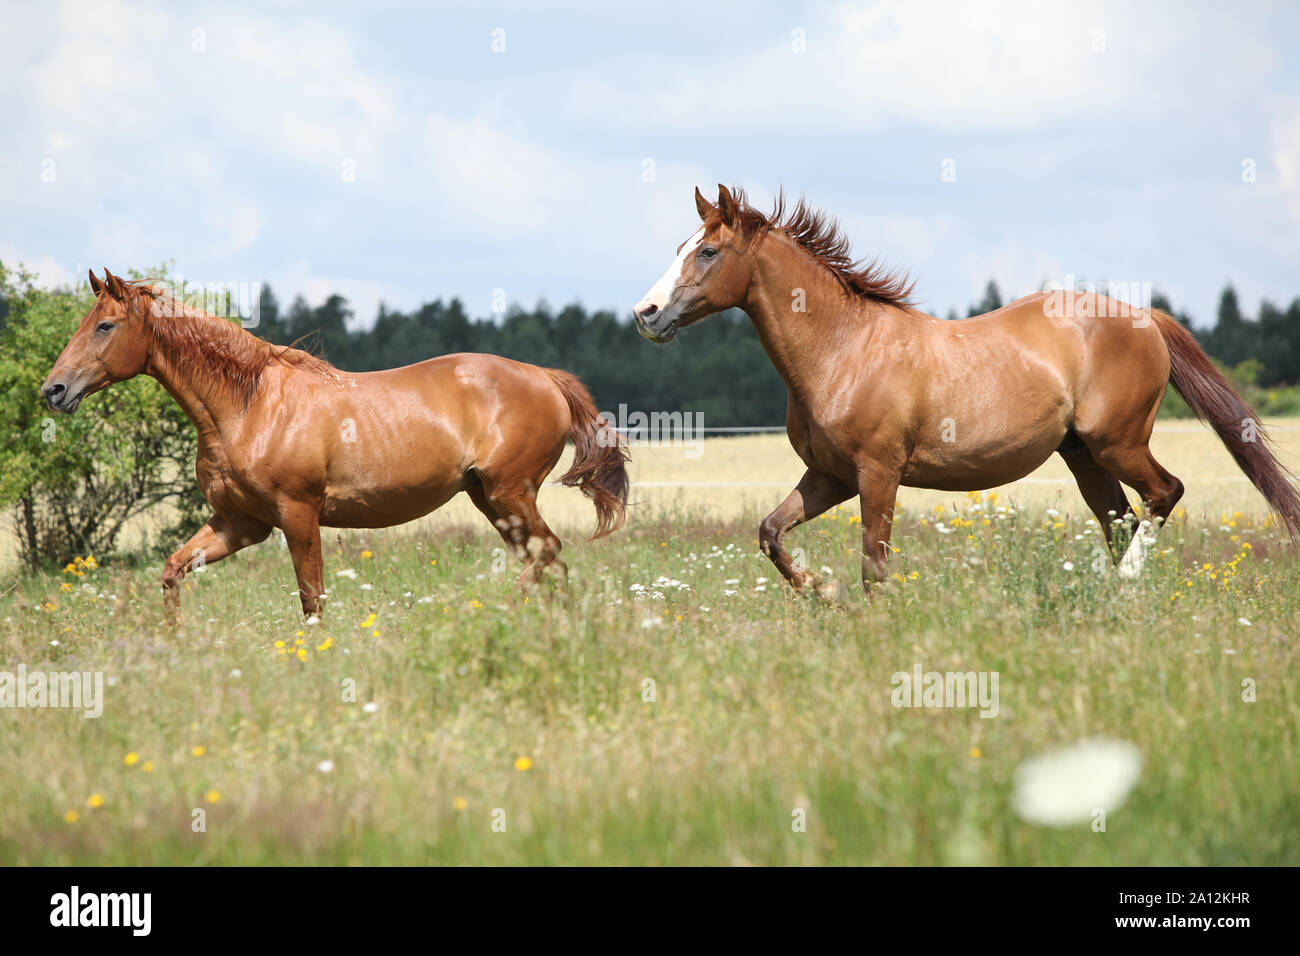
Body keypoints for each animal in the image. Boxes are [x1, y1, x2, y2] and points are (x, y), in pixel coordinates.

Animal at [42, 269, 628, 618]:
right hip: (491, 499)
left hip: (511, 493)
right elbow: (172, 570)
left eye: (105, 326)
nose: (54, 391)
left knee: (549, 554)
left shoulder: (298, 515)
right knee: (548, 559)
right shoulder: (240, 523)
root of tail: (546, 377)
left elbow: (312, 598)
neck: (248, 405)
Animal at [633, 184, 1300, 596]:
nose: (646, 313)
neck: (843, 350)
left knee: (1165, 494)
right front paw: (824, 594)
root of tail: (1146, 317)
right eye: (681, 248)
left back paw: (1123, 586)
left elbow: (875, 565)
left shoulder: (878, 473)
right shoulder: (831, 477)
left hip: (1119, 443)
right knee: (1120, 521)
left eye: (708, 251)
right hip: (1084, 456)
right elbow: (772, 533)